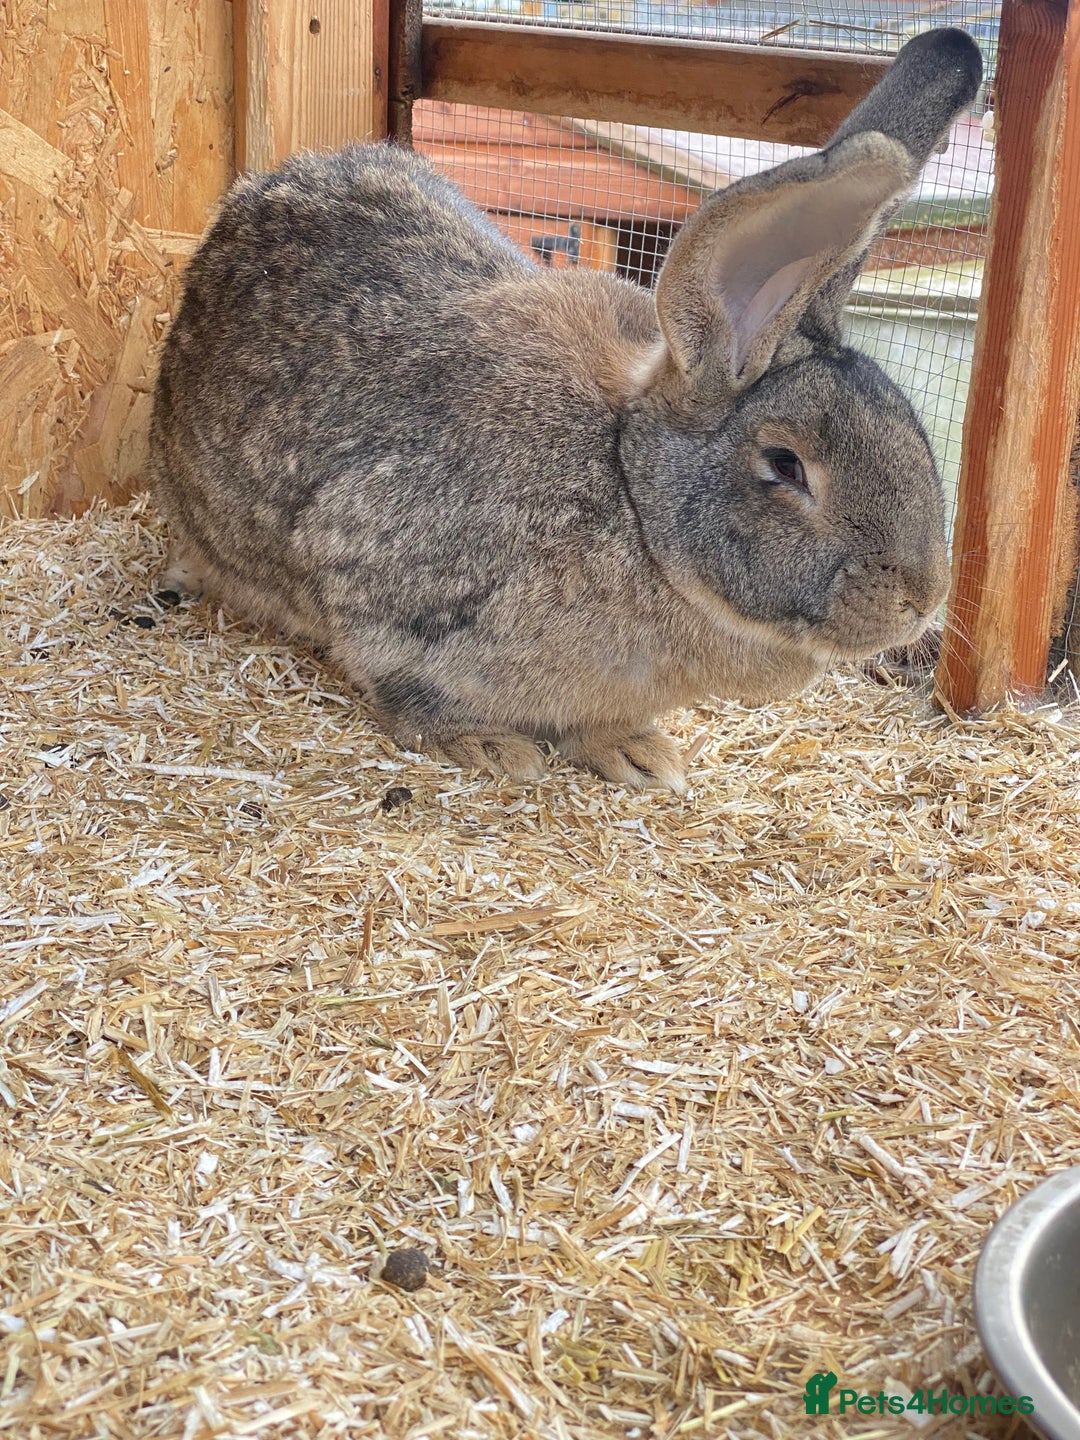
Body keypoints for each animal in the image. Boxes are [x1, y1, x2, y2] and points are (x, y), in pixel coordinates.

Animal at [150, 27, 982, 793]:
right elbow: (409, 695)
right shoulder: (384, 591)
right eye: (786, 465)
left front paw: (637, 754)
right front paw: (494, 748)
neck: (635, 503)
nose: (921, 599)